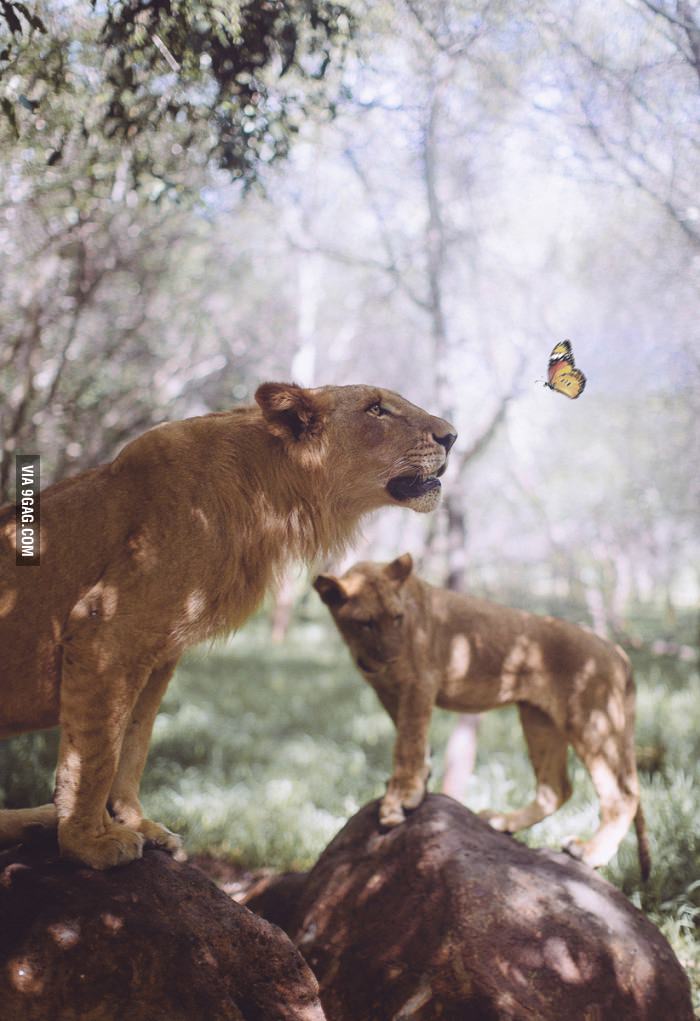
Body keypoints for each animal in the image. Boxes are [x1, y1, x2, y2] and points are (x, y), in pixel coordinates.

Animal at [0, 385, 456, 869]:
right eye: (376, 409)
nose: (452, 436)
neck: (272, 498)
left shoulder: (159, 653)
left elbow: (134, 741)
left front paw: (134, 822)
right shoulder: (104, 630)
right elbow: (96, 752)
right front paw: (88, 841)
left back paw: (39, 819)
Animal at [314, 553, 650, 878]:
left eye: (397, 618)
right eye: (366, 623)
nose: (392, 659)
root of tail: (617, 651)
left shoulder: (419, 683)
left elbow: (407, 742)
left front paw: (400, 799)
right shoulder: (387, 692)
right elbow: (410, 739)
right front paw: (421, 778)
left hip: (592, 721)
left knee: (623, 794)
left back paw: (590, 852)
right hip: (539, 721)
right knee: (556, 788)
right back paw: (502, 821)